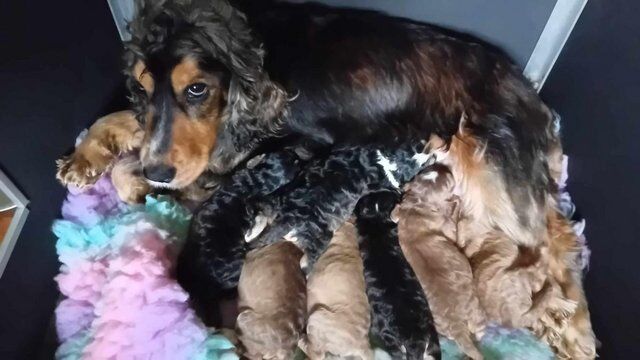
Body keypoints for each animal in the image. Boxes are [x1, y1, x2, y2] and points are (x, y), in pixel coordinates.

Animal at [392, 164, 488, 360]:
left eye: (424, 172)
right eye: (449, 182)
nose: (446, 167)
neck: (418, 205)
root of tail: (457, 326)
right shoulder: (449, 228)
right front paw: (456, 201)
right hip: (478, 314)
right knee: (480, 332)